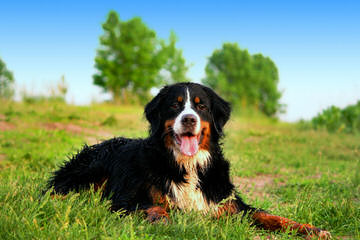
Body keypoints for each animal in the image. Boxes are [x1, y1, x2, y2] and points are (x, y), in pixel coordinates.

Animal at [46, 82, 330, 238]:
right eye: (175, 105)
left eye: (201, 106)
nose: (189, 119)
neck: (188, 165)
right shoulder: (124, 199)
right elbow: (155, 207)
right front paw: (164, 221)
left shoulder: (228, 203)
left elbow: (271, 216)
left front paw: (312, 229)